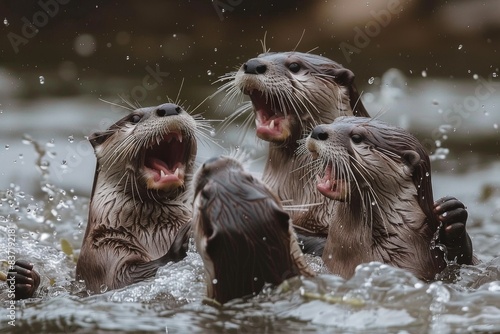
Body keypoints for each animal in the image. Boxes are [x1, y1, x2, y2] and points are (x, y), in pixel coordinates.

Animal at [8, 102, 203, 298]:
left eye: (178, 106)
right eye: (134, 118)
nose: (169, 108)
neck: (156, 230)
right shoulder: (103, 249)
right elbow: (121, 277)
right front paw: (183, 241)